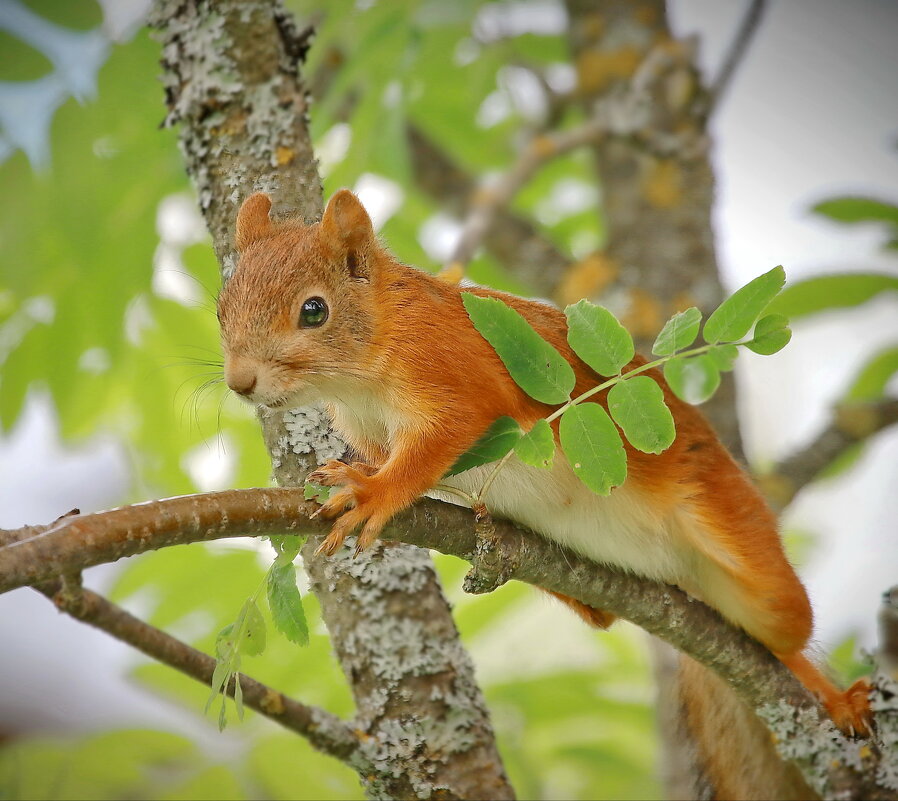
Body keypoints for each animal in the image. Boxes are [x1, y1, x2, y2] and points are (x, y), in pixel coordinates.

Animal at [215, 189, 868, 736]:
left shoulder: (450, 373)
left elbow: (438, 444)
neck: (366, 368)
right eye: (222, 309)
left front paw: (373, 492)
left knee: (785, 632)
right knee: (607, 619)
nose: (240, 382)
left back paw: (833, 697)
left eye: (314, 311)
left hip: (739, 542)